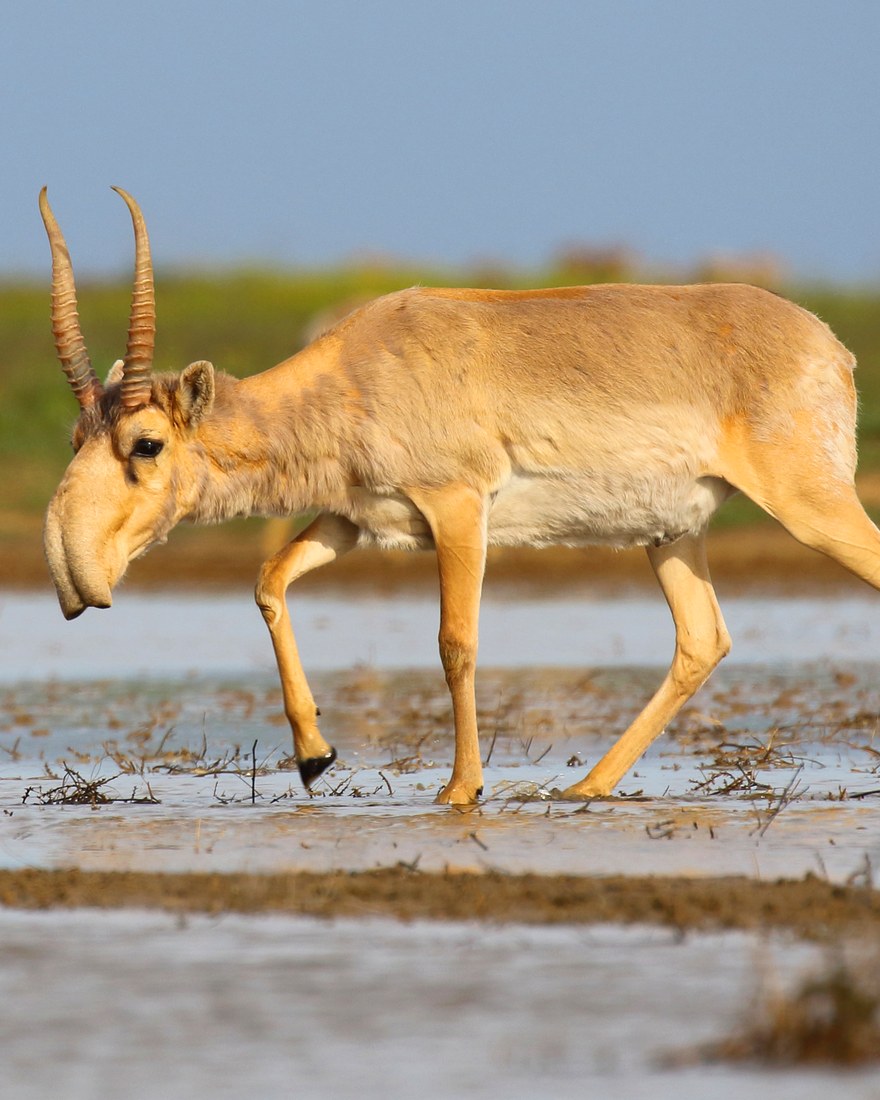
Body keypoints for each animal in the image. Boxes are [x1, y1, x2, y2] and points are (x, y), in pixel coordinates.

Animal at [41, 188, 880, 805]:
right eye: (77, 434)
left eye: (146, 443)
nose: (73, 575)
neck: (357, 369)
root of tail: (830, 346)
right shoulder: (355, 519)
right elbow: (269, 580)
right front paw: (314, 756)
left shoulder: (457, 510)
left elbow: (456, 643)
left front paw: (459, 790)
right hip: (672, 535)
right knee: (702, 639)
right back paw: (585, 787)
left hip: (811, 506)